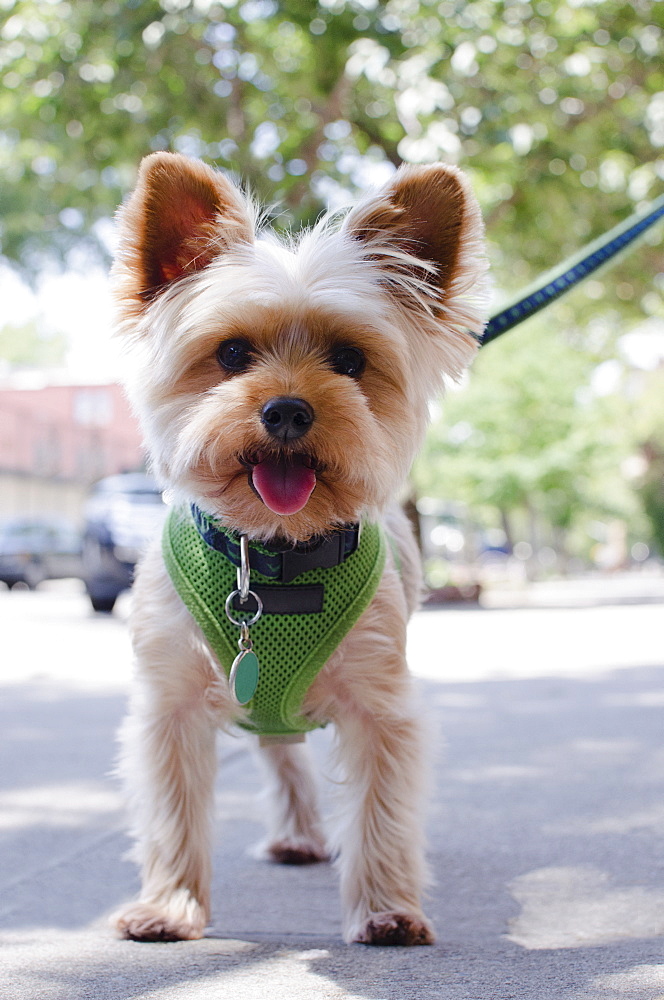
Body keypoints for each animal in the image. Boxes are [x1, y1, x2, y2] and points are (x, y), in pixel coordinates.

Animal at [110, 152, 488, 948]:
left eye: (349, 359)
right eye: (230, 353)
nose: (287, 409)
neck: (270, 554)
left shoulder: (382, 705)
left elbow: (382, 811)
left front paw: (386, 907)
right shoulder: (170, 706)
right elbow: (173, 812)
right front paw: (169, 906)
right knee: (280, 753)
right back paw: (296, 833)